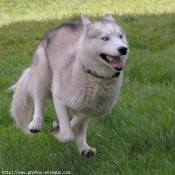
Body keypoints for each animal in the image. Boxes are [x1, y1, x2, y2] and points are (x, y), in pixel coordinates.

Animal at [9, 13, 129, 156]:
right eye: (105, 38)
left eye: (120, 36)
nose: (123, 49)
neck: (94, 75)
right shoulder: (59, 97)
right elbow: (68, 135)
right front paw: (58, 130)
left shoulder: (90, 108)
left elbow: (77, 122)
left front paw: (58, 127)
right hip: (42, 75)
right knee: (38, 100)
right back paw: (36, 123)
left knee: (81, 129)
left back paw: (84, 148)